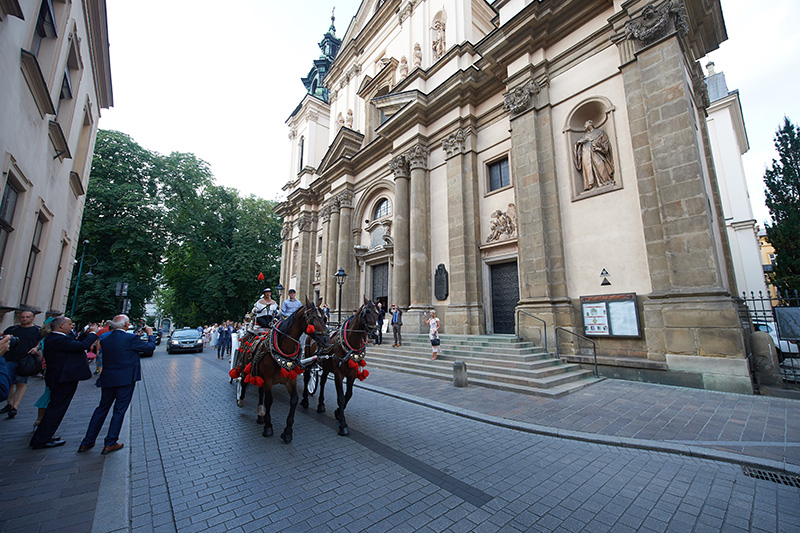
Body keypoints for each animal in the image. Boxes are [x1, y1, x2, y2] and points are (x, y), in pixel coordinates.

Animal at [231, 298, 332, 442]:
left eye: (324, 318)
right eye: (312, 318)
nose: (326, 340)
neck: (284, 349)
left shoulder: (290, 379)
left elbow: (294, 399)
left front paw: (287, 432)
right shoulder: (268, 380)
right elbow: (269, 400)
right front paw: (268, 428)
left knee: (259, 389)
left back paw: (260, 413)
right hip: (245, 365)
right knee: (243, 380)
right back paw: (241, 400)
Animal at [300, 298, 378, 434]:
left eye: (377, 312)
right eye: (367, 311)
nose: (375, 333)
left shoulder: (352, 374)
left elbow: (348, 395)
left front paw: (338, 413)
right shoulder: (338, 374)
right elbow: (341, 397)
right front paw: (342, 423)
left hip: (326, 367)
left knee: (323, 382)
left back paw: (321, 405)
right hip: (309, 360)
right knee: (306, 378)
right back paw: (305, 400)